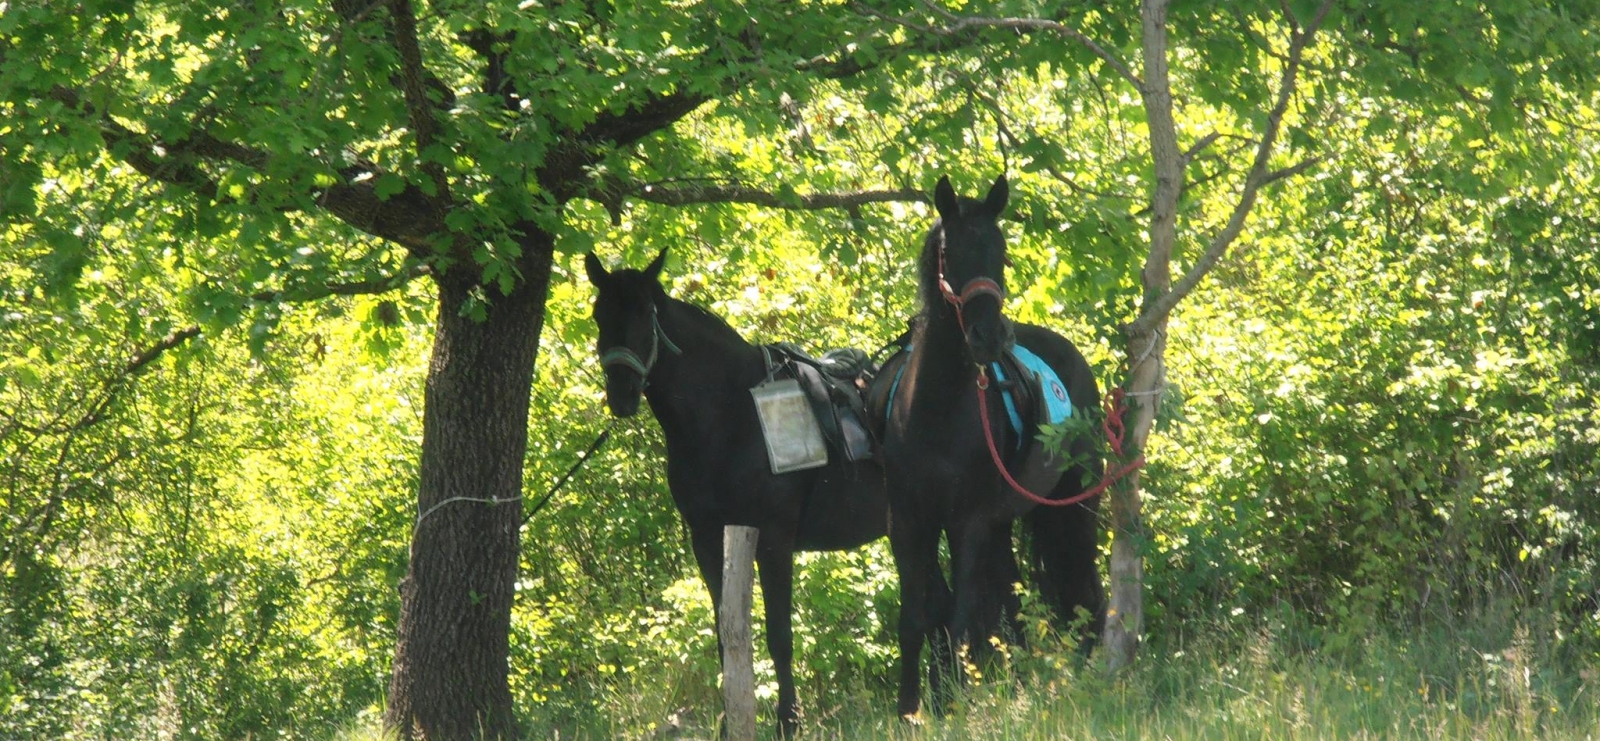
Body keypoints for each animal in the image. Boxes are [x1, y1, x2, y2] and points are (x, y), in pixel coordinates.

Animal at [588, 249, 889, 736]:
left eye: (645, 314)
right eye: (599, 314)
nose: (622, 393)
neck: (732, 414)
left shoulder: (774, 539)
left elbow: (780, 637)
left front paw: (788, 723)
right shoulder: (709, 540)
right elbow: (725, 636)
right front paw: (730, 723)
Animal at [870, 174, 1107, 720]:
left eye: (1000, 250)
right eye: (948, 251)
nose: (989, 336)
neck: (934, 410)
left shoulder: (969, 523)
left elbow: (960, 619)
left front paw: (956, 702)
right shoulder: (907, 522)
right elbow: (917, 617)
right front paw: (911, 707)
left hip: (1074, 503)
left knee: (1083, 582)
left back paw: (1089, 665)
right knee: (1017, 599)